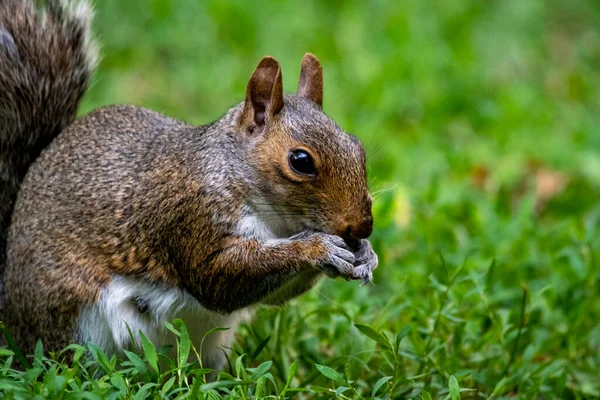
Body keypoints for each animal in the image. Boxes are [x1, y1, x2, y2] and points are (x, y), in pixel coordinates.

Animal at [0, 0, 376, 372]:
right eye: (300, 161)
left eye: (358, 147)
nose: (363, 226)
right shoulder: (193, 218)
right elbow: (221, 279)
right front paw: (317, 248)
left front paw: (365, 254)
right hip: (75, 328)